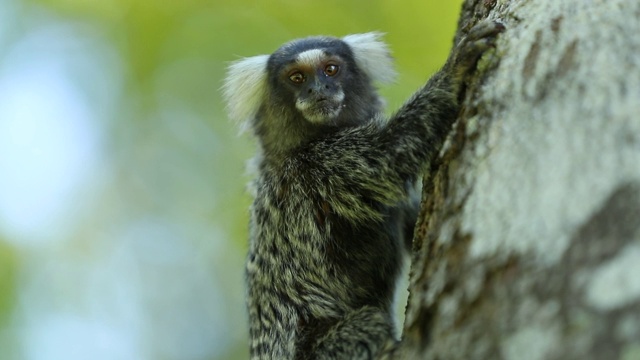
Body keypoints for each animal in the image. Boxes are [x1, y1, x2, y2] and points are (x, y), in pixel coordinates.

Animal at [224, 20, 504, 360]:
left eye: (331, 69)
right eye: (297, 78)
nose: (318, 89)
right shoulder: (324, 166)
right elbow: (390, 155)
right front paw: (453, 71)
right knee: (369, 324)